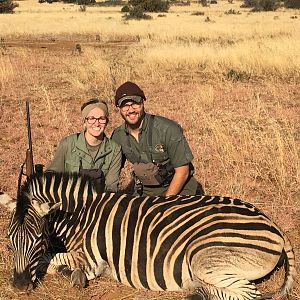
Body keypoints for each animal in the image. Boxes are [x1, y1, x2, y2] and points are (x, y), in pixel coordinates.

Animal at [0, 172, 296, 298]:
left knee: (249, 294)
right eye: (9, 240)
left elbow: (49, 260)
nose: (18, 286)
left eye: (38, 239)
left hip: (204, 257)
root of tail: (274, 224)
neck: (83, 216)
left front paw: (70, 275)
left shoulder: (91, 259)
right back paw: (197, 290)